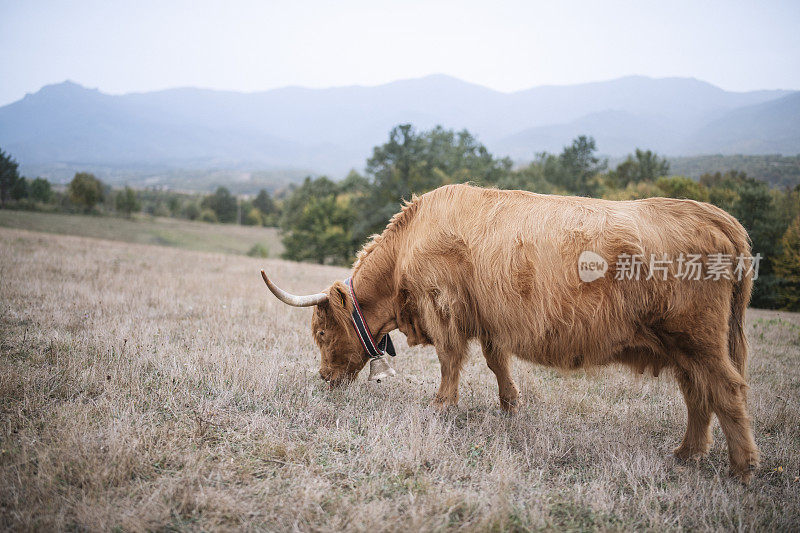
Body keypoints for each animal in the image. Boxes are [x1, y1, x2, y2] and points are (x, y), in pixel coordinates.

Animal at [264, 183, 764, 482]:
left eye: (321, 333)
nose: (324, 379)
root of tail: (719, 218)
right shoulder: (489, 319)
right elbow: (495, 361)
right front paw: (510, 406)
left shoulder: (443, 305)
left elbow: (450, 360)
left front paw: (441, 405)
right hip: (684, 346)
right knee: (697, 392)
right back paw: (687, 453)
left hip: (697, 338)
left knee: (727, 389)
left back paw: (742, 468)